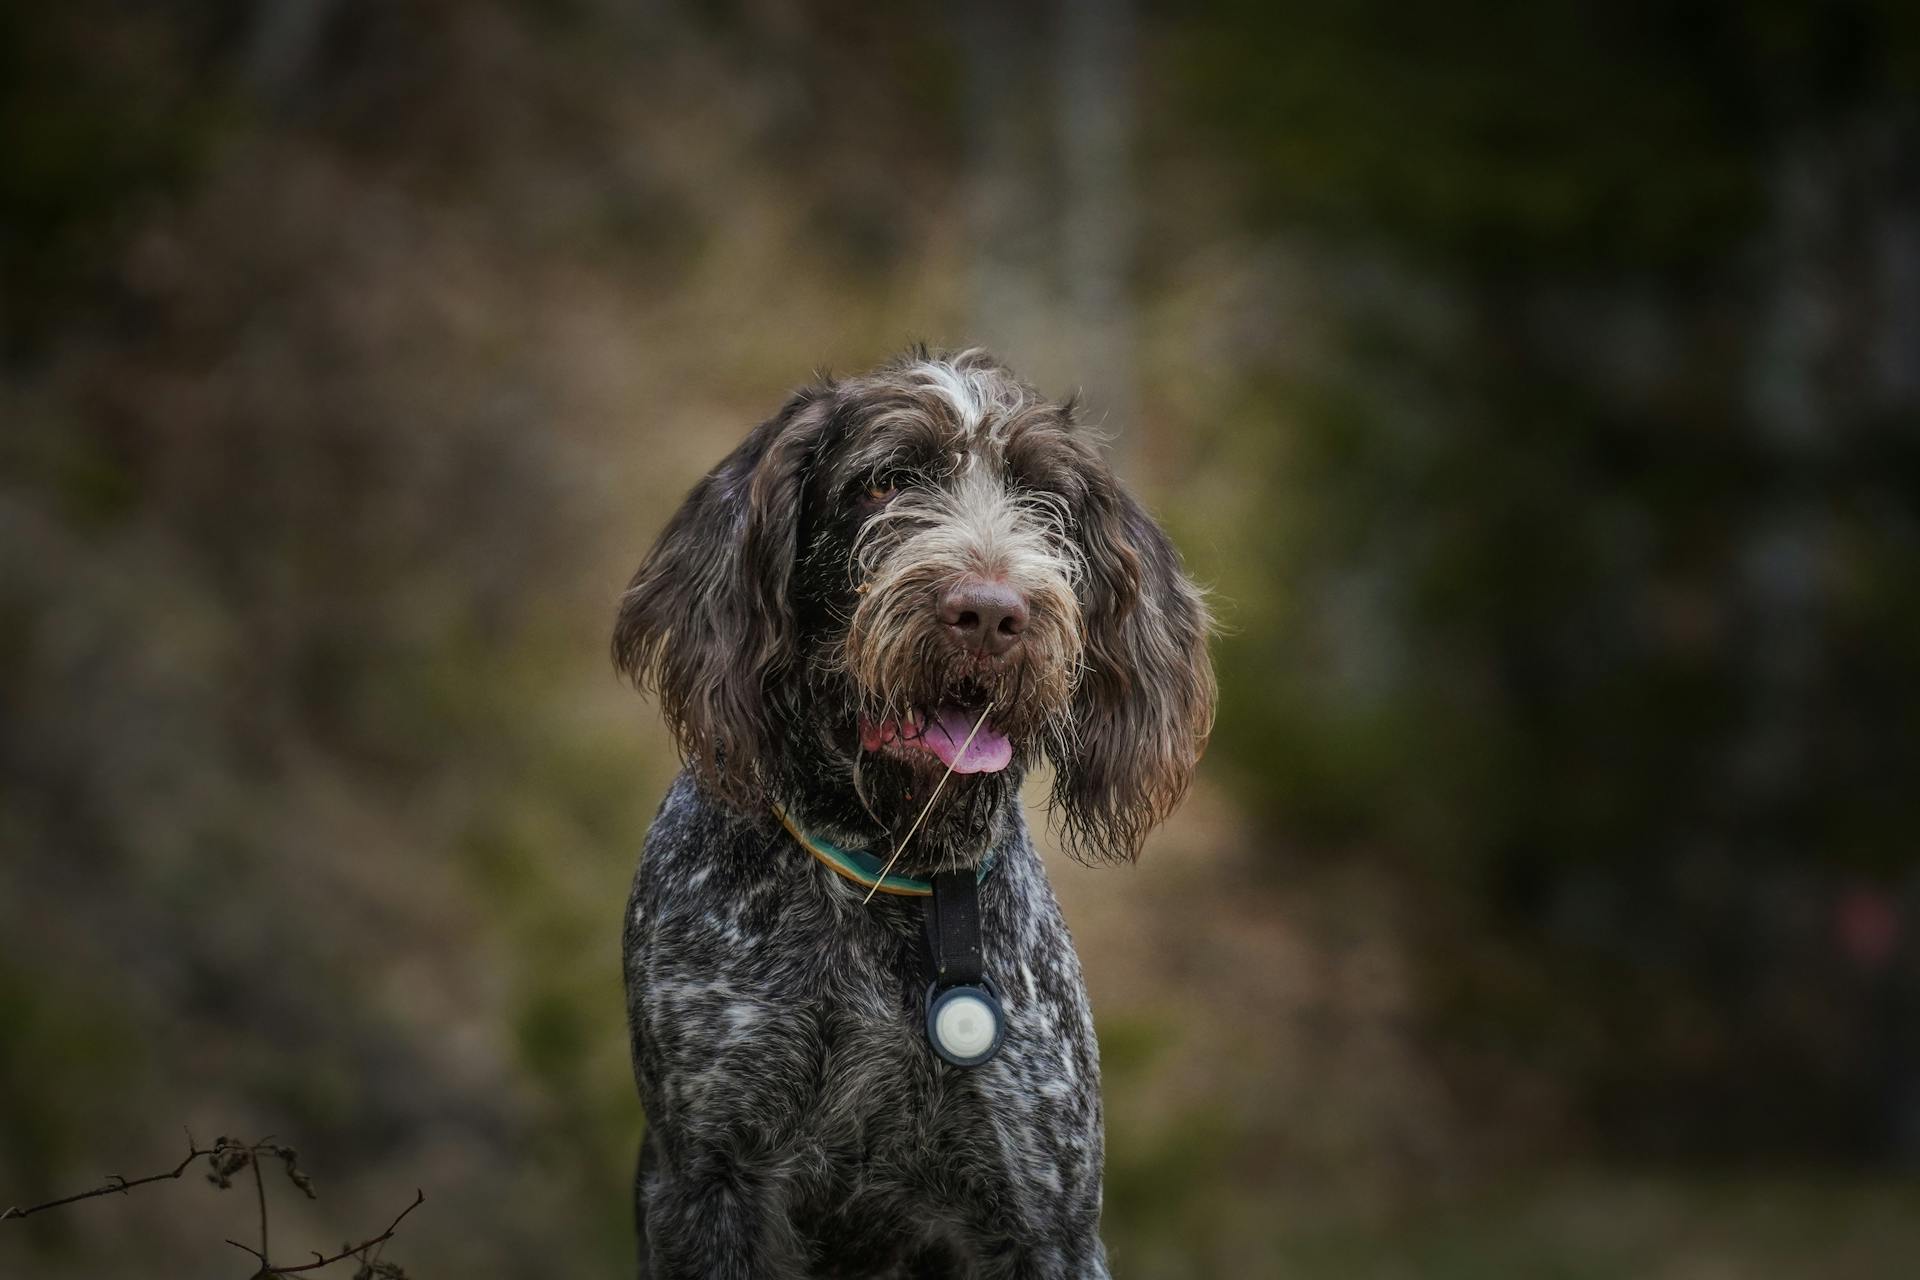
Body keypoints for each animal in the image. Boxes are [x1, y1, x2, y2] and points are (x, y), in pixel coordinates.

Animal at [618, 345, 1213, 1274]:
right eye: (884, 482)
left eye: (1044, 500)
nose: (992, 614)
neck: (886, 861)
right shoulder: (704, 1181)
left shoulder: (1047, 1213)